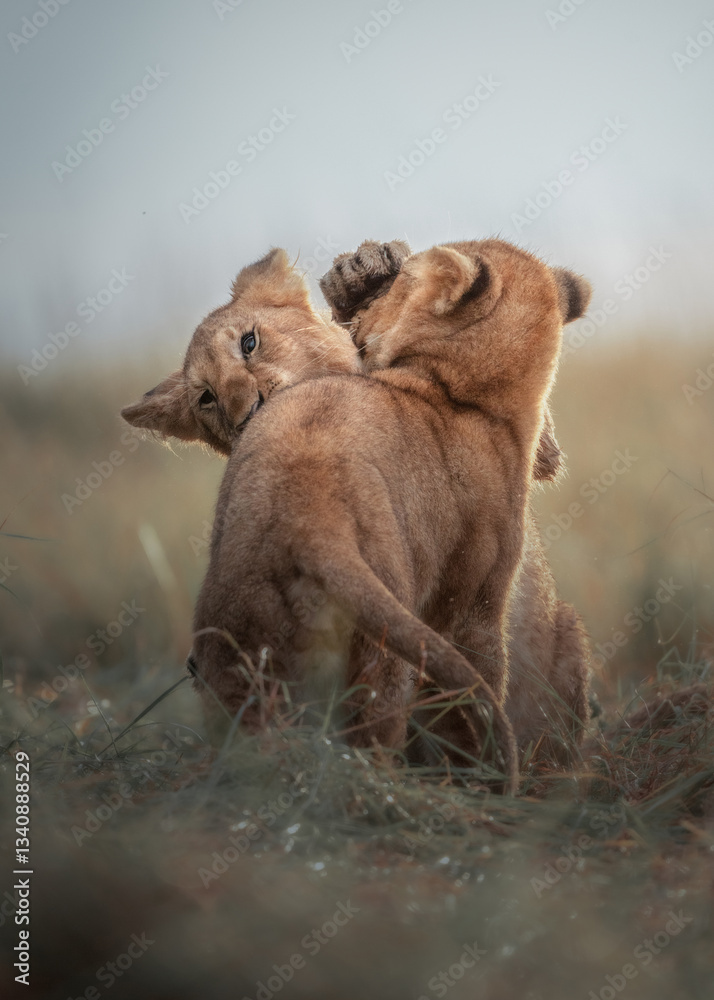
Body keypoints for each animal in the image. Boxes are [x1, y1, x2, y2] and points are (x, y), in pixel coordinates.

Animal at [122, 239, 591, 789]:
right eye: (206, 399)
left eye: (249, 343)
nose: (246, 413)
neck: (459, 394)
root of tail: (310, 521)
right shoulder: (471, 605)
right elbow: (473, 691)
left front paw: (361, 274)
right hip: (387, 641)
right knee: (376, 736)